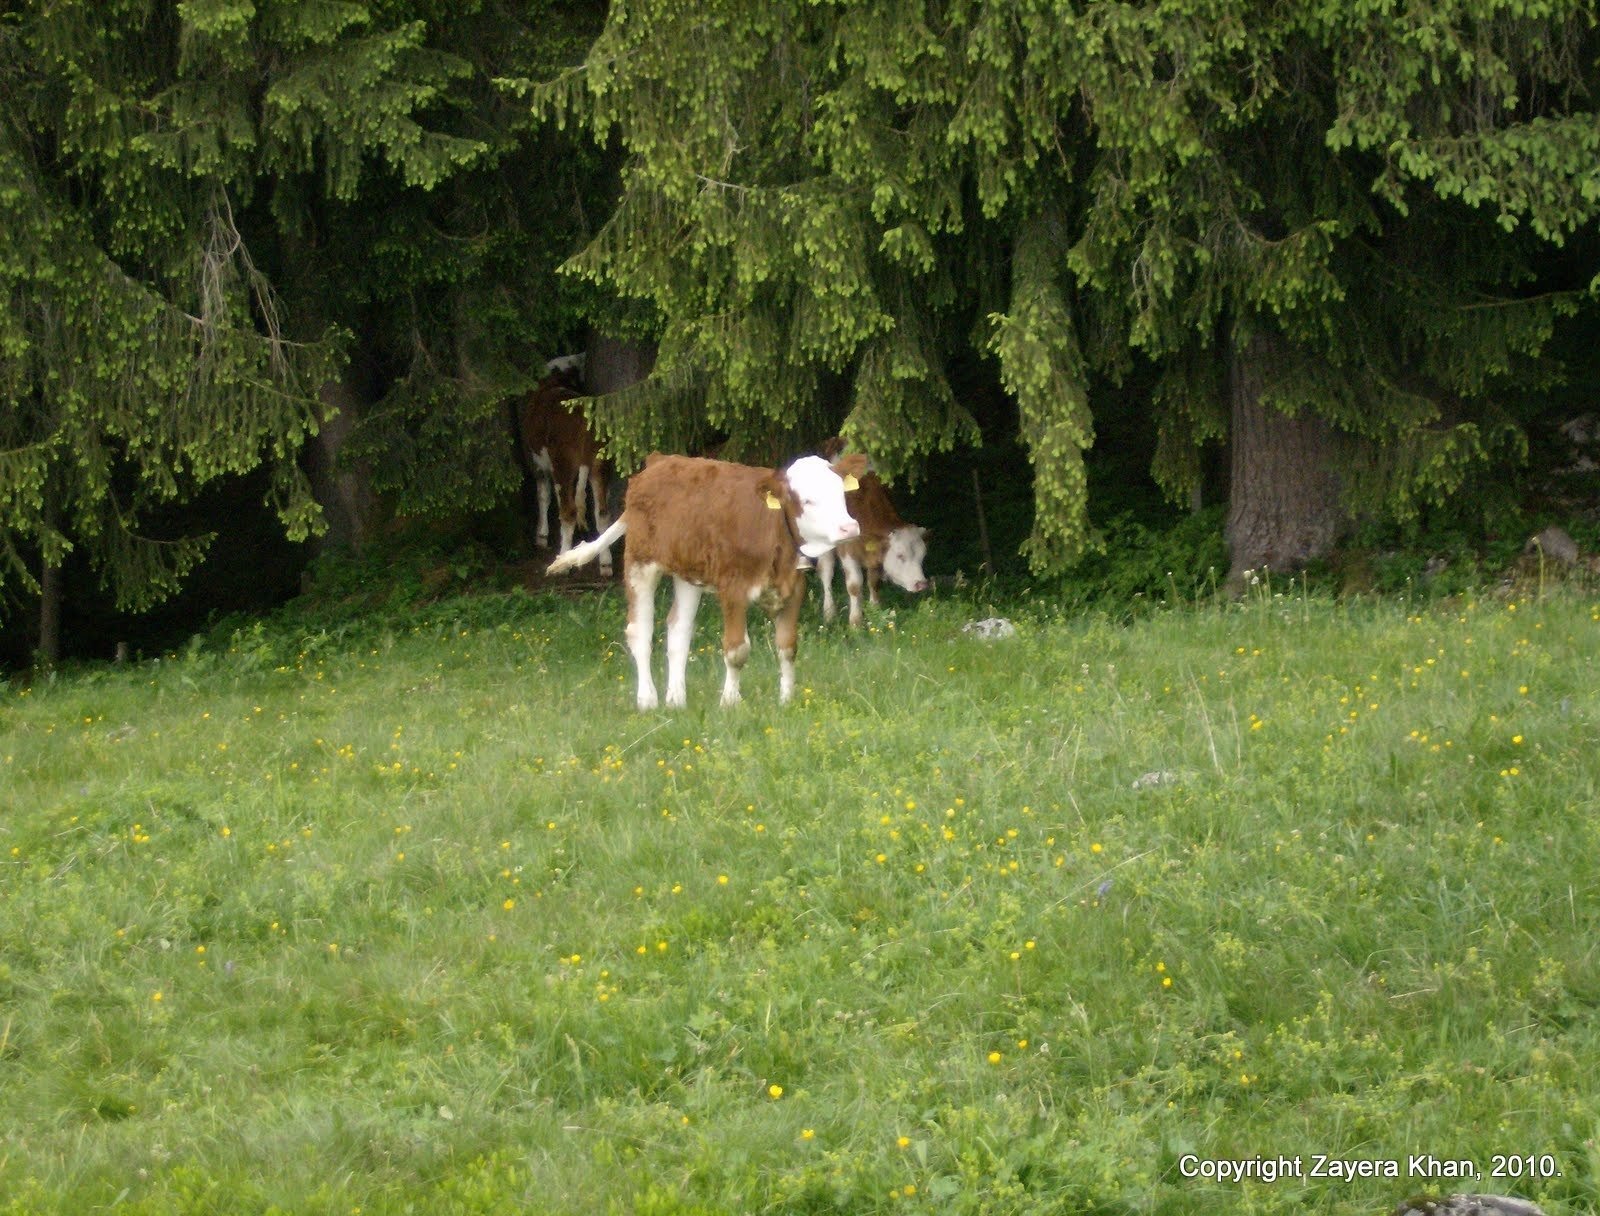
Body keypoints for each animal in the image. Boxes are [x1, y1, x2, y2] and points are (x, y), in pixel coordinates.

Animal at [518, 367, 612, 576]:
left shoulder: (537, 464)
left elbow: (543, 495)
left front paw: (541, 536)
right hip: (599, 464)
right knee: (602, 513)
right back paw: (606, 564)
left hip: (563, 464)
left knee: (568, 511)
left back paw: (562, 563)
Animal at [546, 452, 868, 709]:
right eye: (807, 500)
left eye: (841, 493)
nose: (850, 527)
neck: (772, 529)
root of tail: (660, 460)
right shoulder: (733, 588)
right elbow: (737, 650)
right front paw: (730, 702)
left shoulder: (795, 587)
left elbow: (788, 647)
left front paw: (786, 701)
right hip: (640, 562)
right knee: (640, 630)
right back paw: (647, 700)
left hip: (688, 574)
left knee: (678, 629)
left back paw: (676, 701)